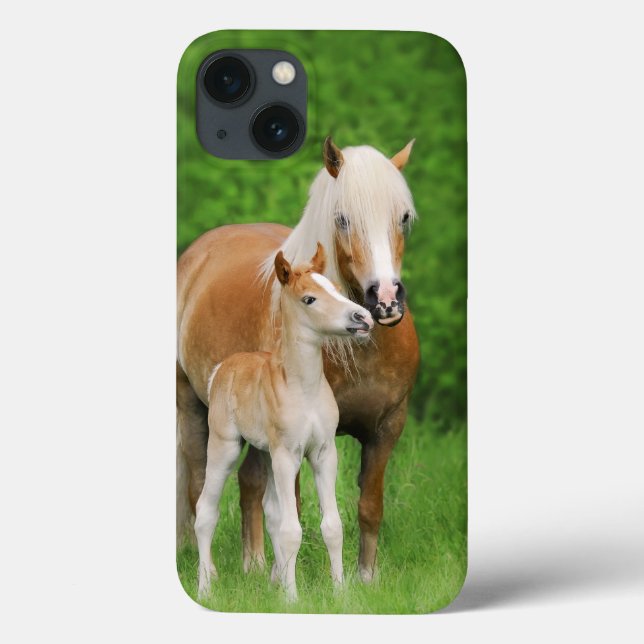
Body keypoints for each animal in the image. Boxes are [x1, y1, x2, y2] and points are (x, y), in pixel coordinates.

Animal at [195, 244, 374, 600]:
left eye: (336, 288)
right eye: (309, 299)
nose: (362, 318)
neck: (304, 388)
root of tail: (222, 368)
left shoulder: (323, 453)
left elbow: (331, 526)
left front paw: (340, 593)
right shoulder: (286, 455)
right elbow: (292, 529)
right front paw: (292, 598)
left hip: (265, 451)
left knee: (272, 512)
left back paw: (273, 581)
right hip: (225, 447)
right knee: (206, 511)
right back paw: (206, 588)